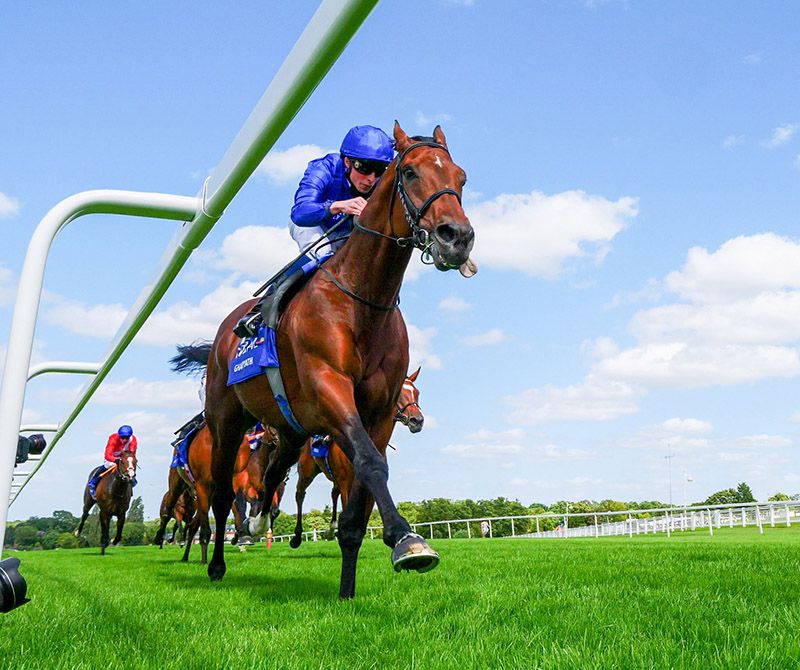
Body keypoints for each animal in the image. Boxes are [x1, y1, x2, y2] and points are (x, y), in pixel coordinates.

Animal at [290, 368, 424, 552]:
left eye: (416, 393)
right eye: (398, 394)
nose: (417, 420)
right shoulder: (347, 482)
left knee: (333, 492)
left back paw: (332, 527)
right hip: (307, 472)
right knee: (300, 494)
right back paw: (297, 536)